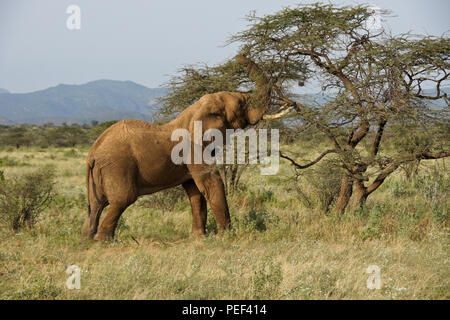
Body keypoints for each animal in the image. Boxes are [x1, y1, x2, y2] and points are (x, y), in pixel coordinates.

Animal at [80, 54, 278, 240]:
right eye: (241, 104)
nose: (239, 55)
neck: (194, 111)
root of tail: (93, 153)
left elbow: (195, 191)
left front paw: (199, 238)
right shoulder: (194, 150)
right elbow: (211, 183)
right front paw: (225, 236)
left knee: (96, 206)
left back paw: (88, 241)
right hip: (118, 167)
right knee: (122, 200)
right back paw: (105, 242)